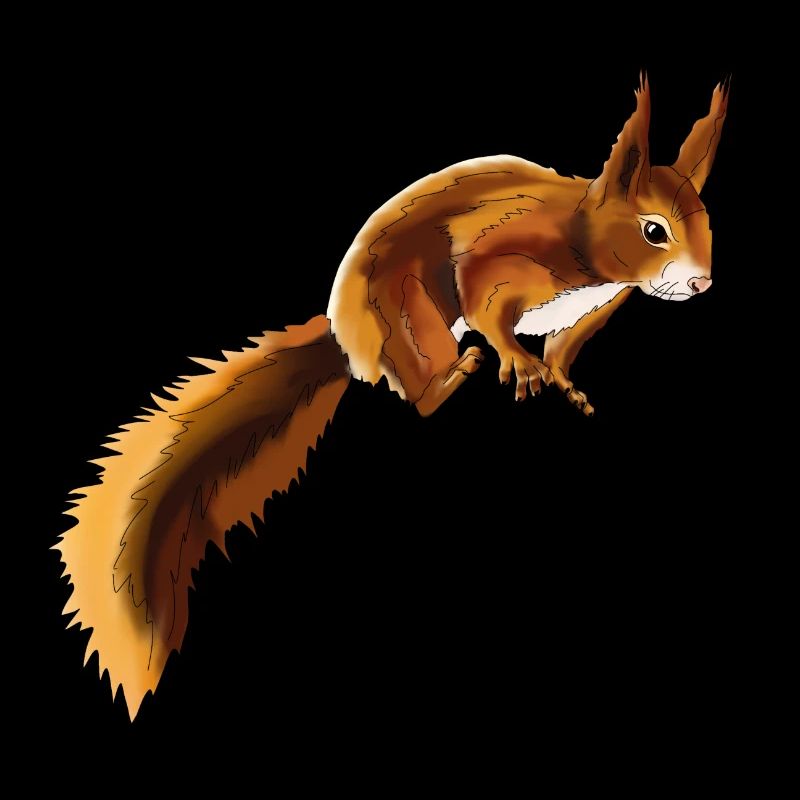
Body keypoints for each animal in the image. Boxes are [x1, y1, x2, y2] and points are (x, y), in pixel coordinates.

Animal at [57, 75, 728, 719]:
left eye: (707, 224)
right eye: (653, 230)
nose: (702, 284)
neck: (587, 246)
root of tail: (347, 340)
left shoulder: (597, 308)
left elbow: (567, 348)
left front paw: (564, 380)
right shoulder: (503, 259)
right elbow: (486, 302)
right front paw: (517, 361)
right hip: (413, 317)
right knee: (422, 393)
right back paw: (455, 377)